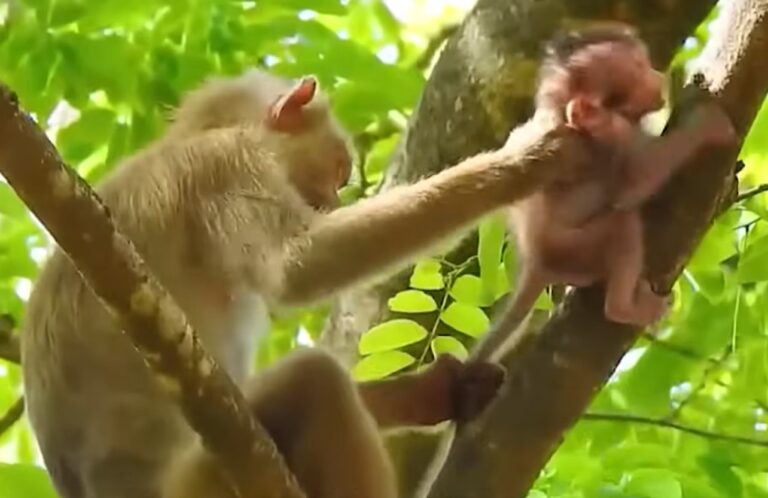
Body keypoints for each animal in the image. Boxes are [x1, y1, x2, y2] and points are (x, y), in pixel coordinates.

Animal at [20, 68, 580, 498]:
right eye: (334, 172)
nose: (331, 201)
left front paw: (436, 391)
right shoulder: (230, 166)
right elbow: (302, 266)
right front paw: (519, 164)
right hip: (197, 480)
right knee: (313, 381)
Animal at [470, 24, 737, 362]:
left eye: (643, 62)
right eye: (637, 68)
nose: (656, 75)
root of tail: (536, 262)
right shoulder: (611, 135)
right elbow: (633, 184)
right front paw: (707, 125)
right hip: (574, 249)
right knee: (622, 225)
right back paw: (623, 308)